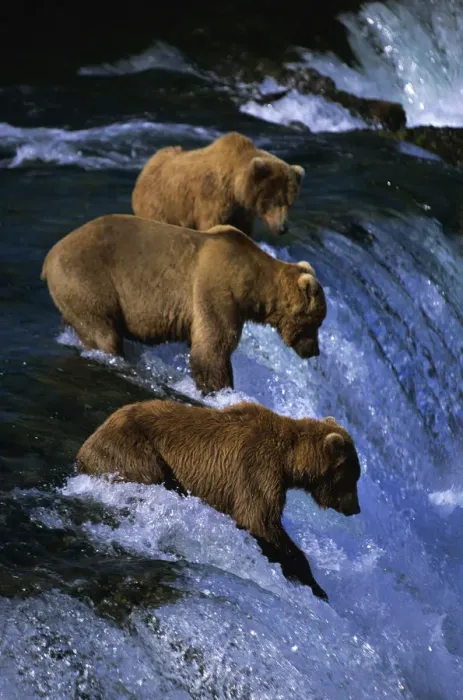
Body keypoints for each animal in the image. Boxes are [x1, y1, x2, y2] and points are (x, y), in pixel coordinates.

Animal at [41, 214, 327, 394]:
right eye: (318, 321)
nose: (315, 351)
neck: (252, 283)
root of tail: (48, 257)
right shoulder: (216, 291)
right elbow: (213, 347)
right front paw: (219, 390)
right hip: (87, 282)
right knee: (102, 332)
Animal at [76, 399, 362, 601]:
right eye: (354, 477)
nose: (356, 508)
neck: (289, 460)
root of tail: (85, 447)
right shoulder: (257, 469)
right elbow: (261, 521)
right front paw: (316, 585)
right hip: (134, 451)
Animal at [131, 131, 305, 237]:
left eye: (290, 203)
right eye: (274, 201)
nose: (283, 228)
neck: (235, 190)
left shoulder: (241, 212)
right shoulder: (213, 198)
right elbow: (211, 225)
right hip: (161, 205)